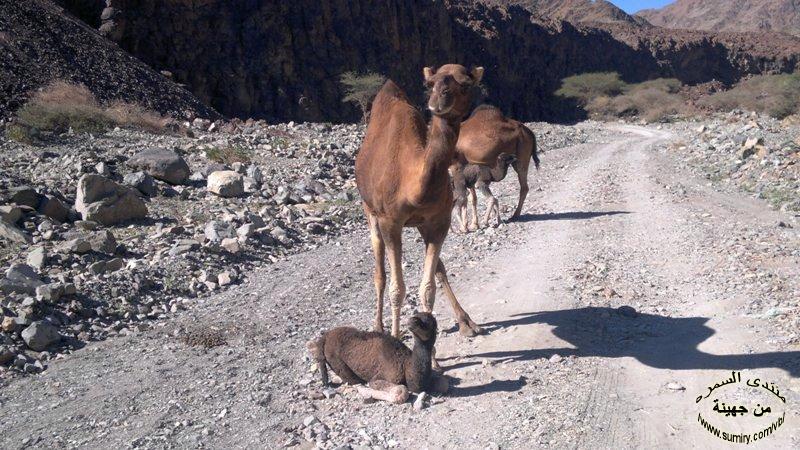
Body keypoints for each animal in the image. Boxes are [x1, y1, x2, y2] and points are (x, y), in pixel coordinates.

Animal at [354, 65, 484, 354]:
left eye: (465, 84)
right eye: (430, 84)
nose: (439, 99)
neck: (413, 182)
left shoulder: (437, 222)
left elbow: (428, 287)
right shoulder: (391, 222)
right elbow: (397, 288)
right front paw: (394, 340)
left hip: (421, 226)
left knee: (439, 271)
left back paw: (466, 322)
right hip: (370, 212)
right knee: (379, 272)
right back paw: (378, 327)